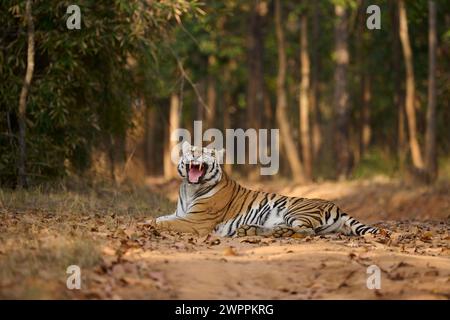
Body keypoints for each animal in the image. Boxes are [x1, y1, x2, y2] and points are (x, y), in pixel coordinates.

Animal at [155, 141, 384, 238]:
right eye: (192, 151)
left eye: (207, 154)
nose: (195, 156)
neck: (190, 188)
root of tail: (338, 206)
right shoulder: (181, 214)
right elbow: (161, 218)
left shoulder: (196, 221)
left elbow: (164, 223)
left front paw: (148, 226)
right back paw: (251, 230)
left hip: (296, 212)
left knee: (306, 231)